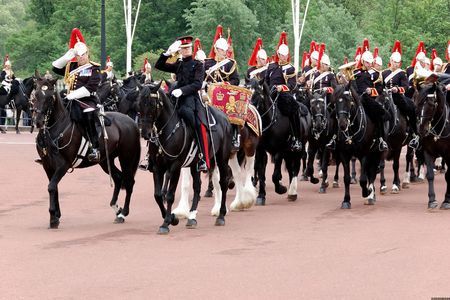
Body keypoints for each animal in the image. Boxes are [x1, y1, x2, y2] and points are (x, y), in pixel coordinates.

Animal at [33, 74, 141, 229]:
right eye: (35, 95)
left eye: (49, 97)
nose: (38, 122)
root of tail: (132, 122)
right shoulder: (48, 166)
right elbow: (54, 187)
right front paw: (56, 215)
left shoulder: (63, 165)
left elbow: (52, 187)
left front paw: (53, 218)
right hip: (105, 161)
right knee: (118, 178)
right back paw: (116, 208)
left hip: (126, 157)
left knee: (129, 181)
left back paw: (123, 213)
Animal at [138, 81, 232, 233]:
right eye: (139, 103)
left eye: (152, 104)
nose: (145, 133)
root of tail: (224, 118)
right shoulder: (158, 167)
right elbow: (158, 195)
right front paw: (172, 218)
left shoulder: (175, 166)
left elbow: (170, 195)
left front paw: (166, 223)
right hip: (195, 164)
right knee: (197, 187)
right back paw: (192, 217)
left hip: (222, 159)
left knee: (223, 183)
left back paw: (221, 215)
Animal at [414, 78, 450, 210]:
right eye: (417, 102)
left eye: (431, 103)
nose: (421, 129)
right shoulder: (428, 152)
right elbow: (430, 175)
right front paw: (432, 200)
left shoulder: (448, 155)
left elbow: (448, 176)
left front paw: (446, 200)